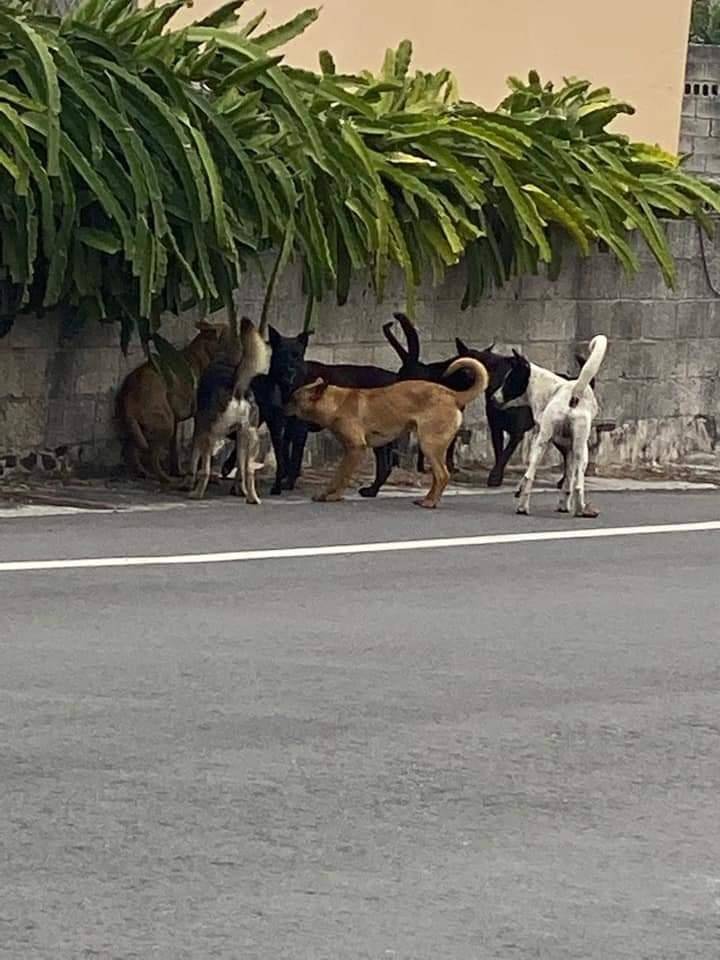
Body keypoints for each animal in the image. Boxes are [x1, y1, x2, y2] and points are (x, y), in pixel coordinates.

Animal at [117, 320, 228, 484]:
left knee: (131, 447)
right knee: (152, 457)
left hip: (144, 427)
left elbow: (175, 450)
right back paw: (166, 478)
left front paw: (179, 471)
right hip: (165, 424)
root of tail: (129, 391)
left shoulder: (176, 421)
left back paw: (142, 472)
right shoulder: (198, 419)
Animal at [286, 356, 490, 510]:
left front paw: (333, 495)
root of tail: (452, 394)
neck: (337, 402)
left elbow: (341, 475)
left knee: (442, 475)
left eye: (295, 399)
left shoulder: (355, 449)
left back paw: (430, 502)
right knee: (438, 477)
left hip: (429, 445)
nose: (281, 406)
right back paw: (429, 498)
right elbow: (338, 476)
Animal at [492, 336, 604, 516]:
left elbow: (566, 478)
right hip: (574, 447)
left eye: (508, 380)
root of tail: (574, 393)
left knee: (532, 475)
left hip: (549, 443)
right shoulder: (566, 448)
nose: (493, 398)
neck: (549, 388)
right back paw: (580, 509)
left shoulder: (555, 443)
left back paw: (524, 506)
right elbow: (569, 478)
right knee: (575, 482)